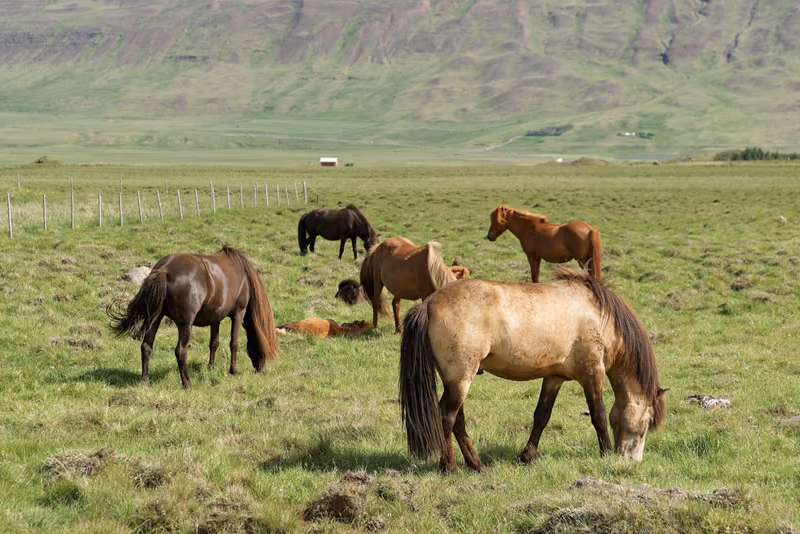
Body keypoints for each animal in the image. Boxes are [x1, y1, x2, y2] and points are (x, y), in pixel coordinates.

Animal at [108, 246, 279, 388]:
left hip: (155, 318)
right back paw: (187, 383)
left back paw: (145, 381)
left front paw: (211, 367)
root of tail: (164, 270)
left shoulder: (215, 318)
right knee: (180, 351)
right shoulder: (238, 313)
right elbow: (234, 343)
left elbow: (214, 343)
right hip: (185, 324)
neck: (243, 276)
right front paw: (233, 370)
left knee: (146, 347)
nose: (261, 369)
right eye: (265, 345)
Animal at [399, 267, 667, 473]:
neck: (600, 316)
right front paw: (607, 453)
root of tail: (429, 303)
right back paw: (449, 467)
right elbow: (599, 417)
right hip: (461, 379)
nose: (633, 460)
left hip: (455, 380)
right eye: (648, 421)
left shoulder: (554, 377)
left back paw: (476, 465)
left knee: (458, 421)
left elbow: (541, 416)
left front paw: (527, 456)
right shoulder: (592, 375)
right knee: (447, 417)